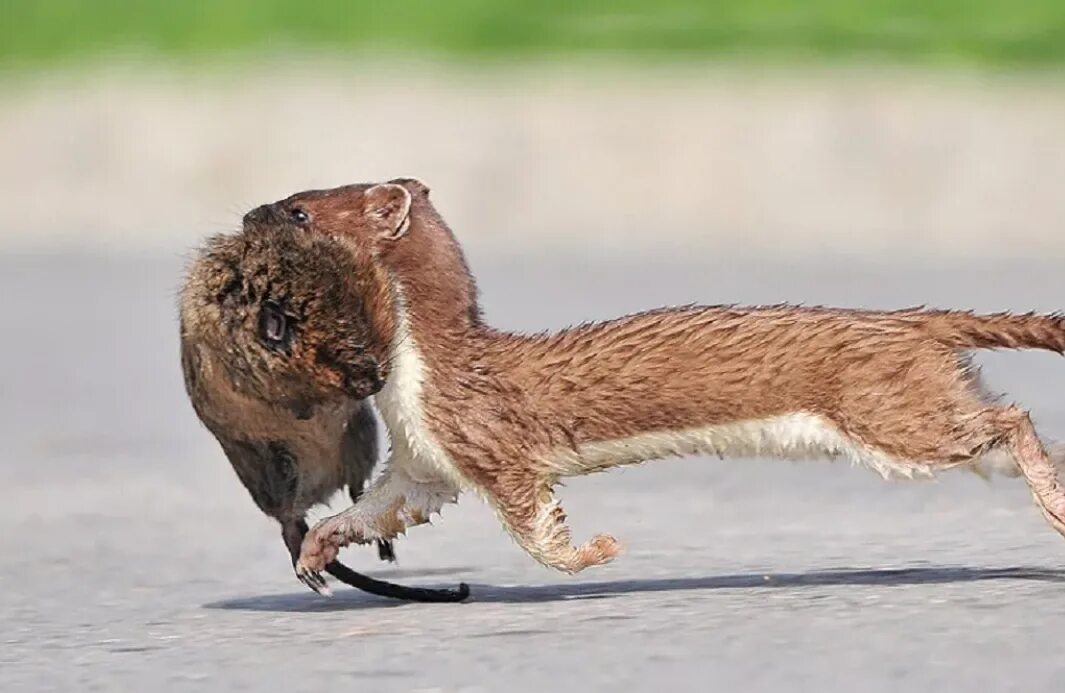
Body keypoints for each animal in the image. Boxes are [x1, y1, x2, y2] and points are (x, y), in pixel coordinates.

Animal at [181, 222, 468, 600]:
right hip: (276, 466)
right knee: (289, 522)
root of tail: (320, 487)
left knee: (355, 487)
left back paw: (381, 548)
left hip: (360, 436)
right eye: (341, 355)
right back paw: (314, 576)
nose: (375, 383)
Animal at [237, 177, 1065, 587]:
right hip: (922, 398)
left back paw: (1054, 504)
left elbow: (535, 526)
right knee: (1004, 424)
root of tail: (915, 318)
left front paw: (594, 551)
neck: (412, 384)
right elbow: (379, 509)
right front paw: (315, 553)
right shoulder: (423, 464)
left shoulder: (488, 440)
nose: (250, 212)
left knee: (1009, 420)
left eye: (301, 208)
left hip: (889, 412)